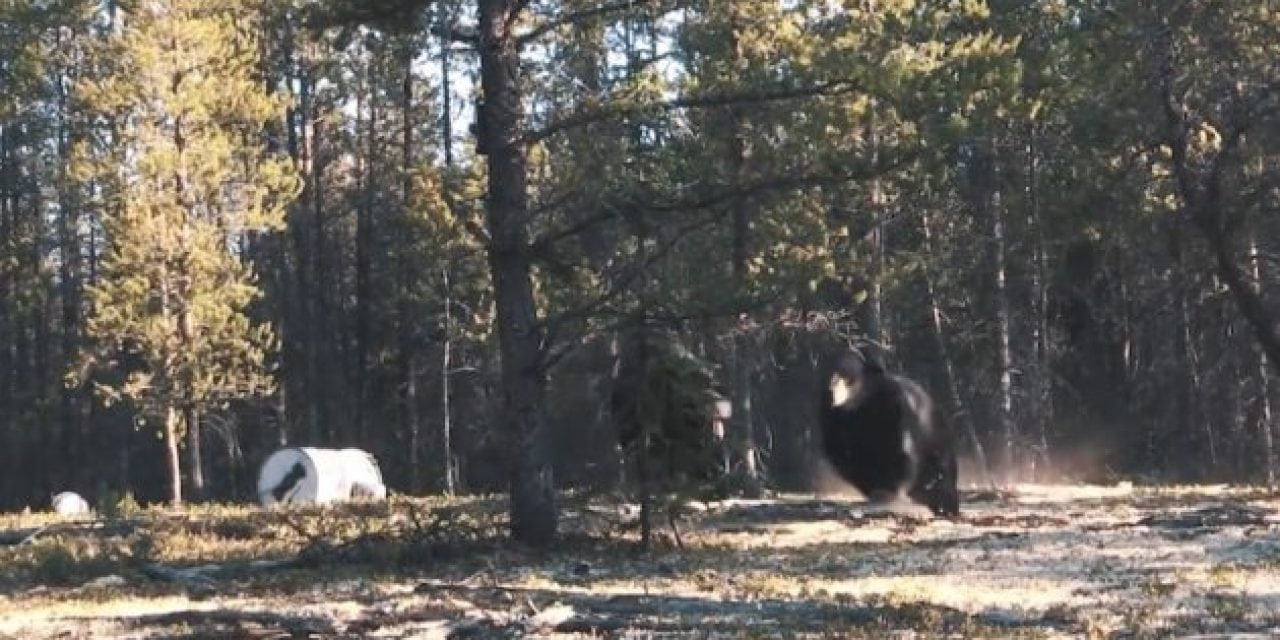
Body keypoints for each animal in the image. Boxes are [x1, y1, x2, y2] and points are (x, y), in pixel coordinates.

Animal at [819, 348, 962, 517]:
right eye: (831, 376)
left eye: (848, 378)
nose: (832, 390)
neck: (859, 405)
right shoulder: (833, 418)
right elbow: (844, 454)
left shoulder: (895, 405)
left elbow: (901, 449)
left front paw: (891, 495)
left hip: (937, 441)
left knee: (941, 472)